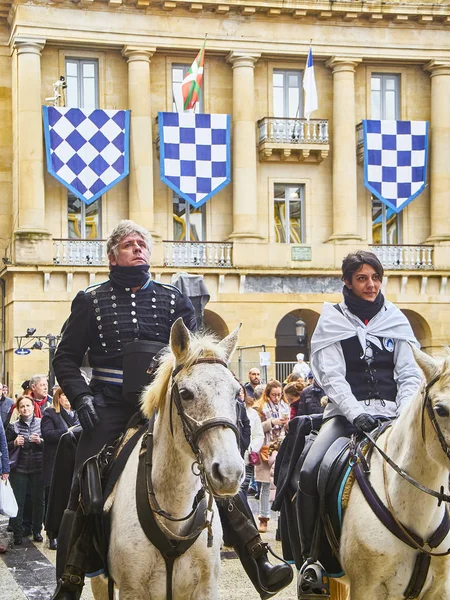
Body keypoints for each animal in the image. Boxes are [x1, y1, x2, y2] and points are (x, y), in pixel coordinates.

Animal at [91, 318, 244, 600]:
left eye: (237, 393)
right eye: (185, 393)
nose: (230, 473)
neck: (174, 509)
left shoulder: (206, 589)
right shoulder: (132, 590)